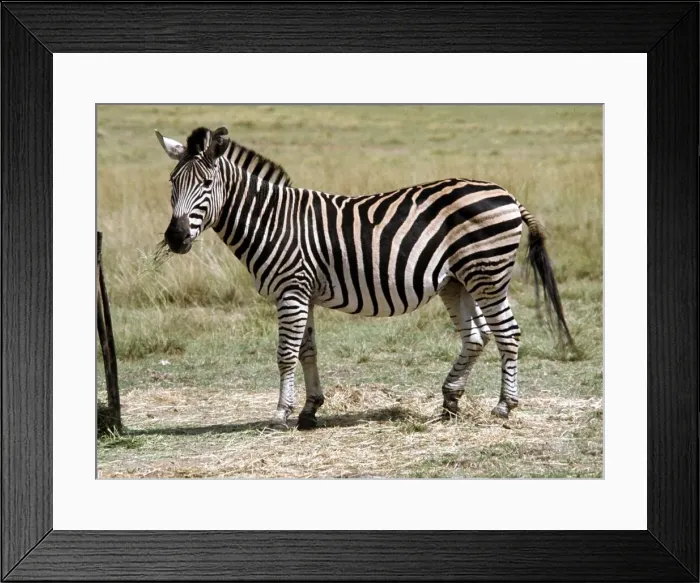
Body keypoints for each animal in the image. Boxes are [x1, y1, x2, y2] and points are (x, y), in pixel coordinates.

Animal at [156, 126, 574, 430]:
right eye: (172, 184)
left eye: (206, 185)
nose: (175, 238)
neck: (272, 221)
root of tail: (506, 193)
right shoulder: (303, 292)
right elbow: (307, 351)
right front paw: (309, 410)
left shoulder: (291, 289)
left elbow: (285, 354)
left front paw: (281, 414)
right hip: (456, 280)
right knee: (476, 336)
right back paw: (451, 399)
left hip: (487, 273)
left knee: (508, 333)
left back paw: (504, 406)